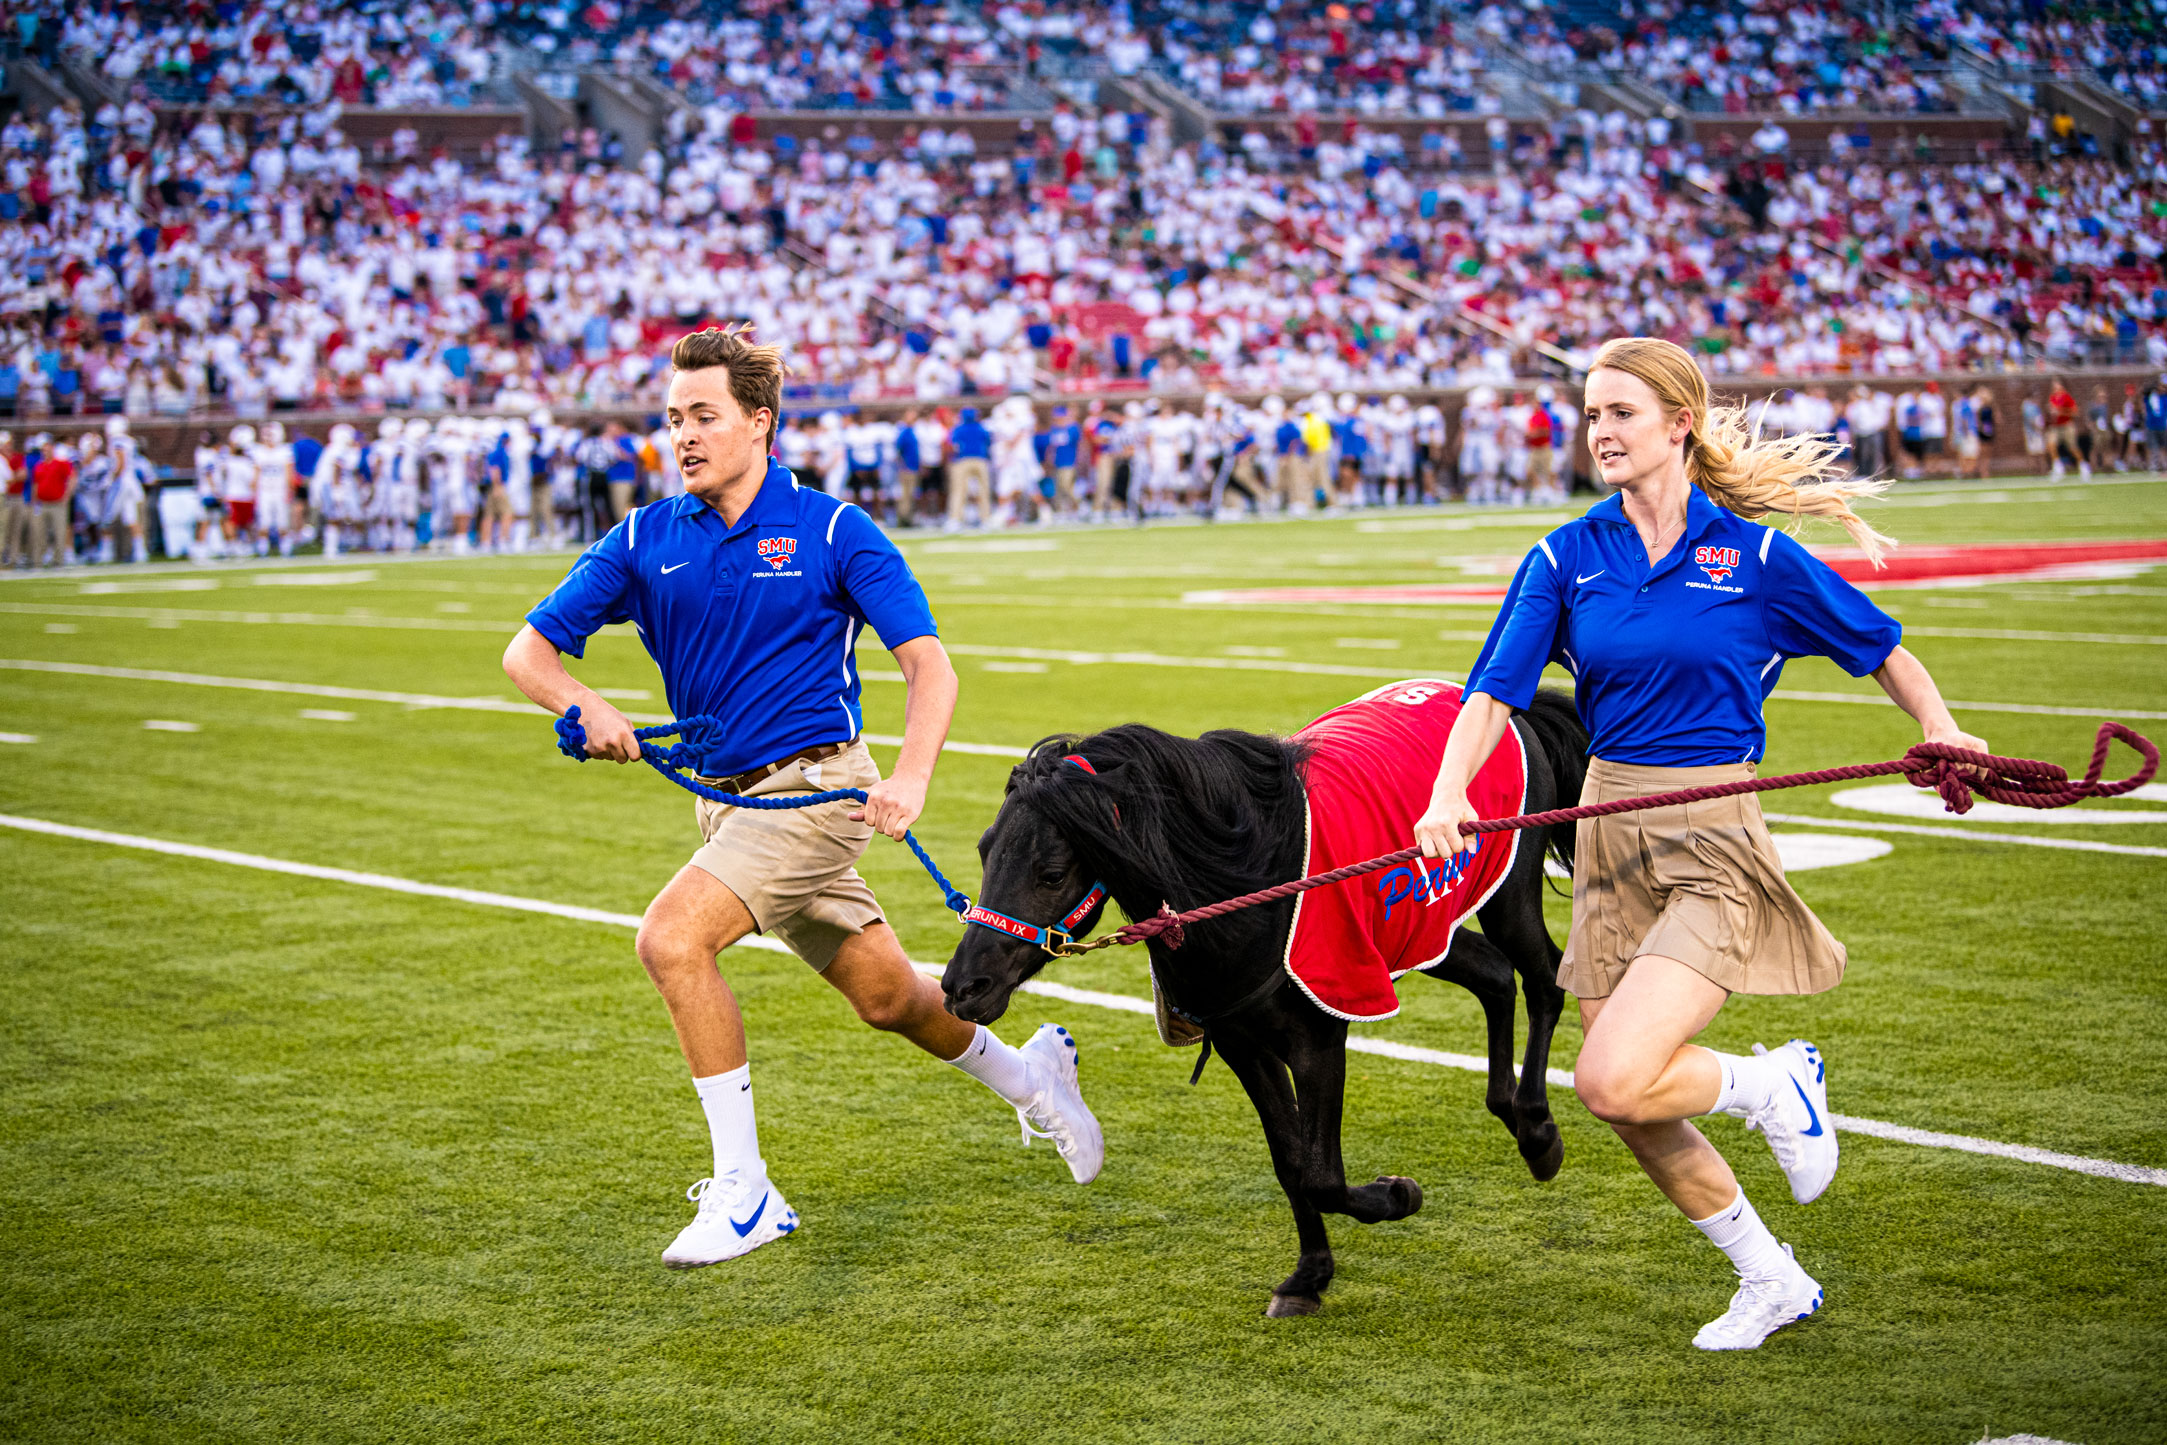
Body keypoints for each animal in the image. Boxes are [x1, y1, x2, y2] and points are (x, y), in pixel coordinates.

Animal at [949, 693, 1594, 1317]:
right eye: (982, 850)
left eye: (1052, 873)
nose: (961, 987)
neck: (1247, 883)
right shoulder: (1243, 1044)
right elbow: (1291, 1164)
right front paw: (1310, 1275)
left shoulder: (1321, 1036)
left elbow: (1323, 1175)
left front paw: (1396, 1194)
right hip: (1423, 931)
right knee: (1496, 977)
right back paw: (1511, 1111)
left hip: (1509, 893)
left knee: (1543, 981)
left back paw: (1537, 1129)